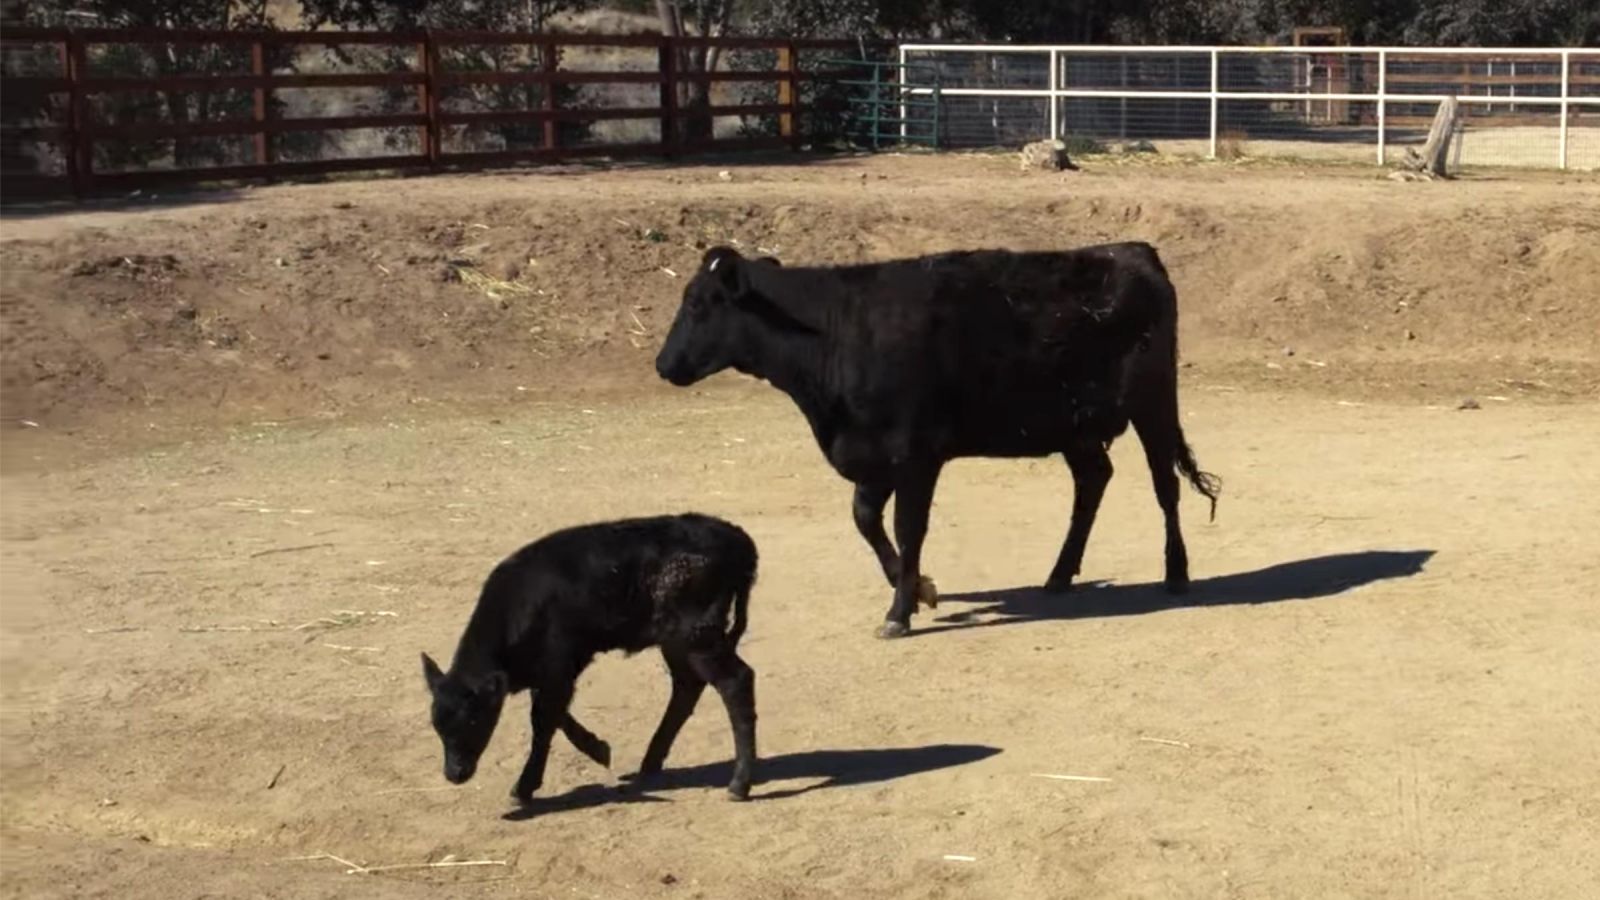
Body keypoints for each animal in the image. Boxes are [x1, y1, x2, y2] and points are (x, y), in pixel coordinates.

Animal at [656, 241, 1216, 634]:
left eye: (699, 305)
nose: (663, 365)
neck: (837, 331)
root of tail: (1133, 251)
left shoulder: (916, 458)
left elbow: (909, 529)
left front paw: (899, 611)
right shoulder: (874, 455)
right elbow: (865, 520)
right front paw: (920, 588)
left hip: (1153, 406)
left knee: (1164, 485)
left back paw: (1177, 573)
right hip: (1074, 429)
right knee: (1093, 481)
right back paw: (1059, 575)